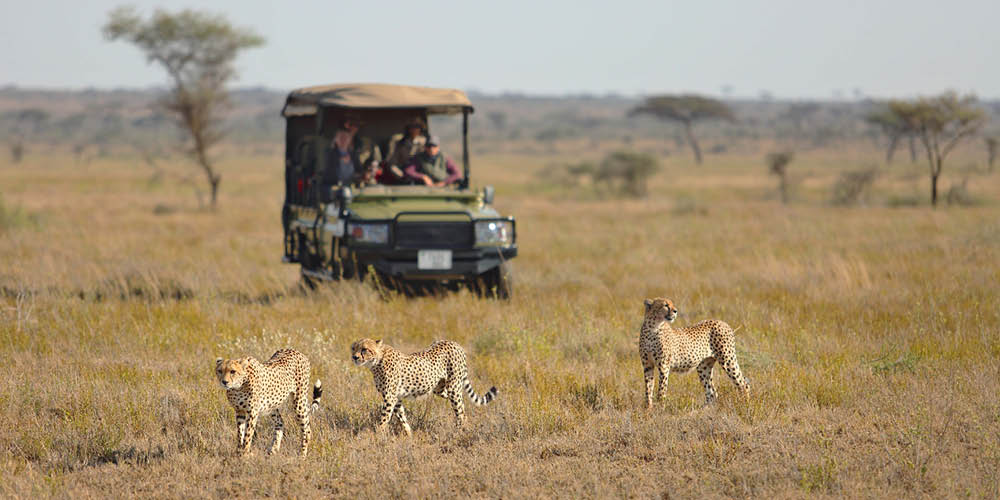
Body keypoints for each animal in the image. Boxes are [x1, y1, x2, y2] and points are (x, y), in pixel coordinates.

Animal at [350, 338, 497, 436]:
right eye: (353, 348)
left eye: (364, 349)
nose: (354, 357)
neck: (377, 361)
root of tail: (454, 343)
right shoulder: (396, 398)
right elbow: (401, 417)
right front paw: (409, 435)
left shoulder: (389, 397)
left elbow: (384, 418)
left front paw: (378, 435)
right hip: (440, 389)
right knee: (462, 405)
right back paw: (464, 424)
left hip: (453, 387)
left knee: (459, 409)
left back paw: (460, 430)